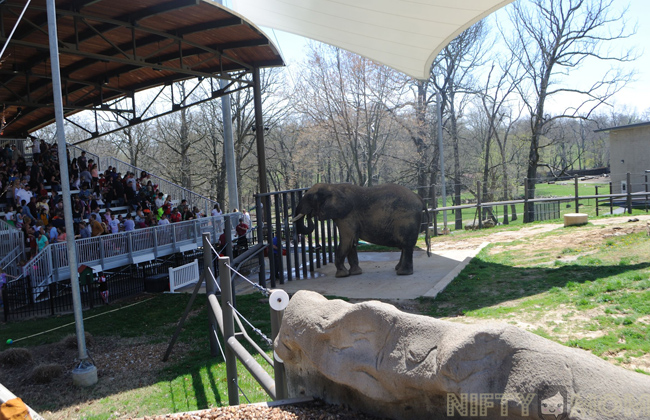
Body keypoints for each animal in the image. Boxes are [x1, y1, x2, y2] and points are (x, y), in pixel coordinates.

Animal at [292, 183, 428, 276]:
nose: (309, 215)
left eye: (310, 198)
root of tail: (419, 198)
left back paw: (402, 273)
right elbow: (351, 243)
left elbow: (347, 241)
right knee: (404, 246)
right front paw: (355, 273)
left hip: (406, 218)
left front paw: (341, 275)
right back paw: (398, 269)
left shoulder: (347, 215)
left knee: (406, 245)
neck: (333, 186)